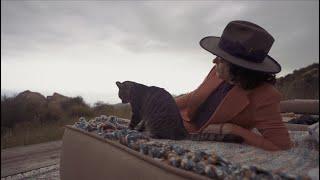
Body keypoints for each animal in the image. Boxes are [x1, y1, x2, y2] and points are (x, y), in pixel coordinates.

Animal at [116, 81, 244, 142]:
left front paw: (128, 129)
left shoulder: (137, 112)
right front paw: (138, 129)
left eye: (121, 94)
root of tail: (182, 131)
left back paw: (151, 135)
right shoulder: (143, 115)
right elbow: (141, 124)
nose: (122, 101)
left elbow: (132, 123)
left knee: (163, 136)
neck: (135, 90)